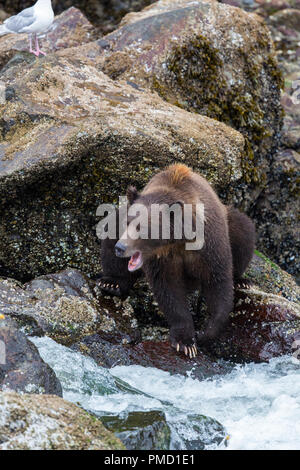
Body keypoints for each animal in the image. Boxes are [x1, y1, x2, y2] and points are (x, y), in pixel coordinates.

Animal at [98, 163, 255, 358]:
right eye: (129, 222)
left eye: (143, 227)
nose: (120, 247)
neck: (178, 241)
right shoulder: (163, 260)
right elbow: (169, 290)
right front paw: (185, 341)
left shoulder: (210, 245)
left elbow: (218, 281)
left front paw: (206, 333)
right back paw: (111, 283)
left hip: (231, 222)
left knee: (243, 230)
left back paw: (242, 281)